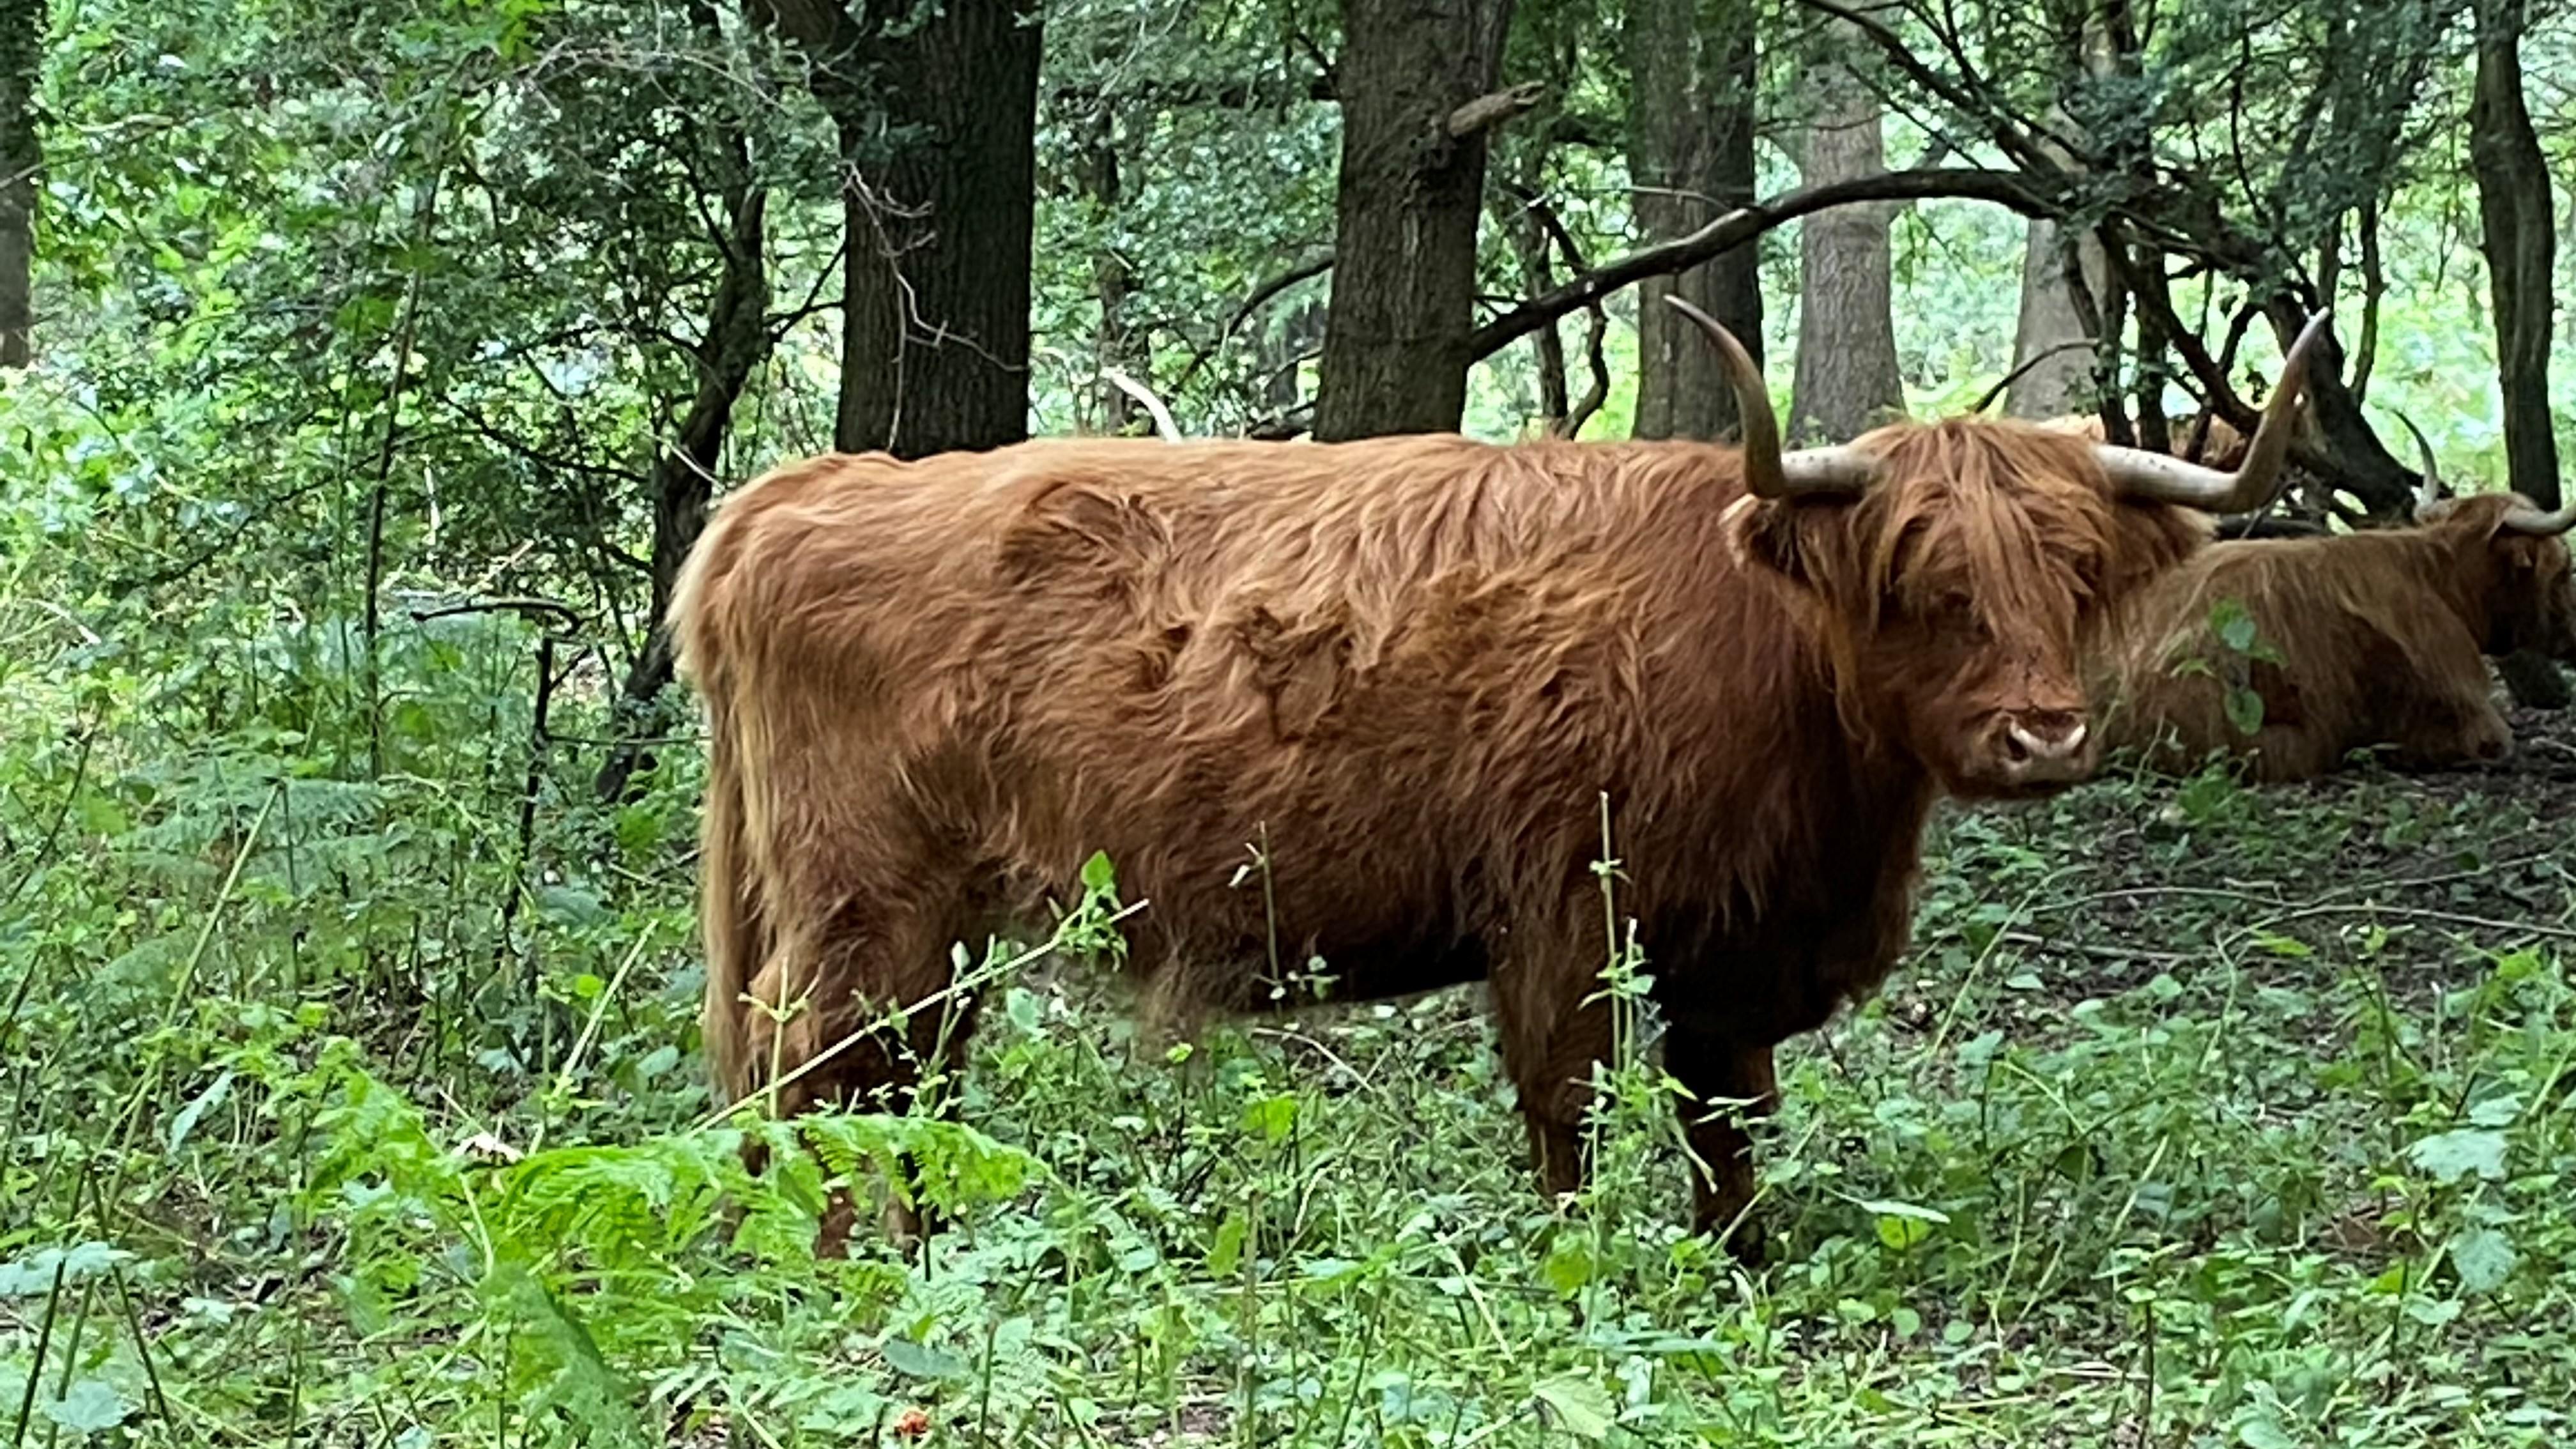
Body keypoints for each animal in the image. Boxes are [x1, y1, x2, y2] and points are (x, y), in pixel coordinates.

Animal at [672, 302, 2327, 1258]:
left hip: (936, 923)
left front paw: (1743, 1278)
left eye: (2074, 576)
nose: (2044, 734)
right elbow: (1572, 1116)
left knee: (899, 1083)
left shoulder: (1726, 950)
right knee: (820, 1075)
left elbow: (1730, 1125)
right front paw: (1578, 1281)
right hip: (866, 905)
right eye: (1924, 583)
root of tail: (797, 493)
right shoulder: (1564, 916)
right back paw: (842, 1267)